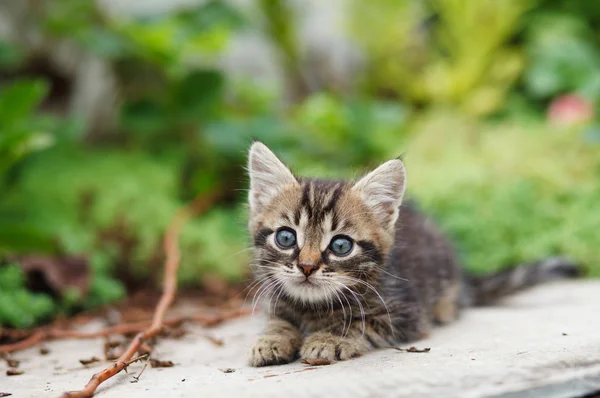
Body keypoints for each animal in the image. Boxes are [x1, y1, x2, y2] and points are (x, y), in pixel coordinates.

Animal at [246, 141, 580, 366]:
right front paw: (272, 340)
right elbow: (278, 321)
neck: (313, 307)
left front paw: (329, 338)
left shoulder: (406, 314)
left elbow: (359, 323)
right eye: (286, 237)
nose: (306, 266)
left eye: (341, 246)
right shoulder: (275, 300)